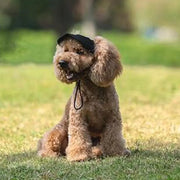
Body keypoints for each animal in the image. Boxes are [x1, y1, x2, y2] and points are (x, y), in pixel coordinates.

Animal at [37, 33, 130, 162]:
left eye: (80, 51)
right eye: (66, 50)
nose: (61, 62)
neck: (92, 89)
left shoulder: (112, 118)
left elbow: (114, 137)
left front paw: (117, 153)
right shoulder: (78, 119)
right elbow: (78, 138)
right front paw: (78, 156)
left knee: (98, 148)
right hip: (58, 132)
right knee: (47, 146)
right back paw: (50, 154)